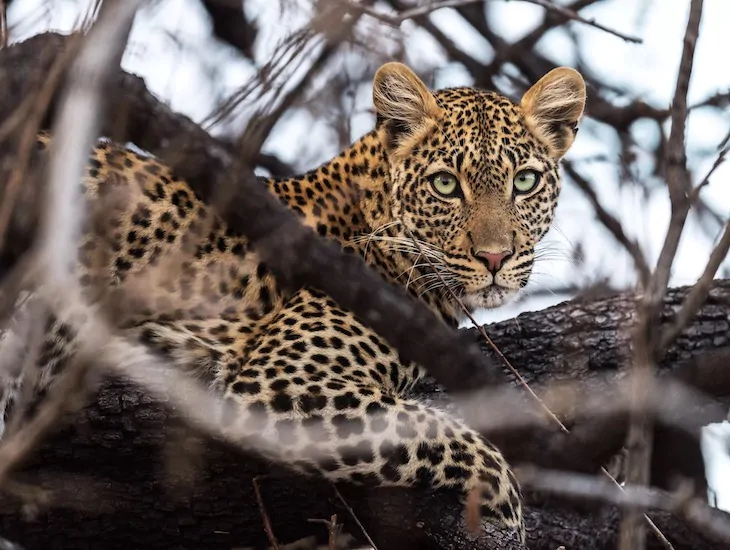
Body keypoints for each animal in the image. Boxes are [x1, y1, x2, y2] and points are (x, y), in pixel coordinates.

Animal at [2, 61, 586, 545]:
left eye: (525, 181)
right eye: (445, 184)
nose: (494, 257)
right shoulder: (278, 380)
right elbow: (439, 430)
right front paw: (506, 507)